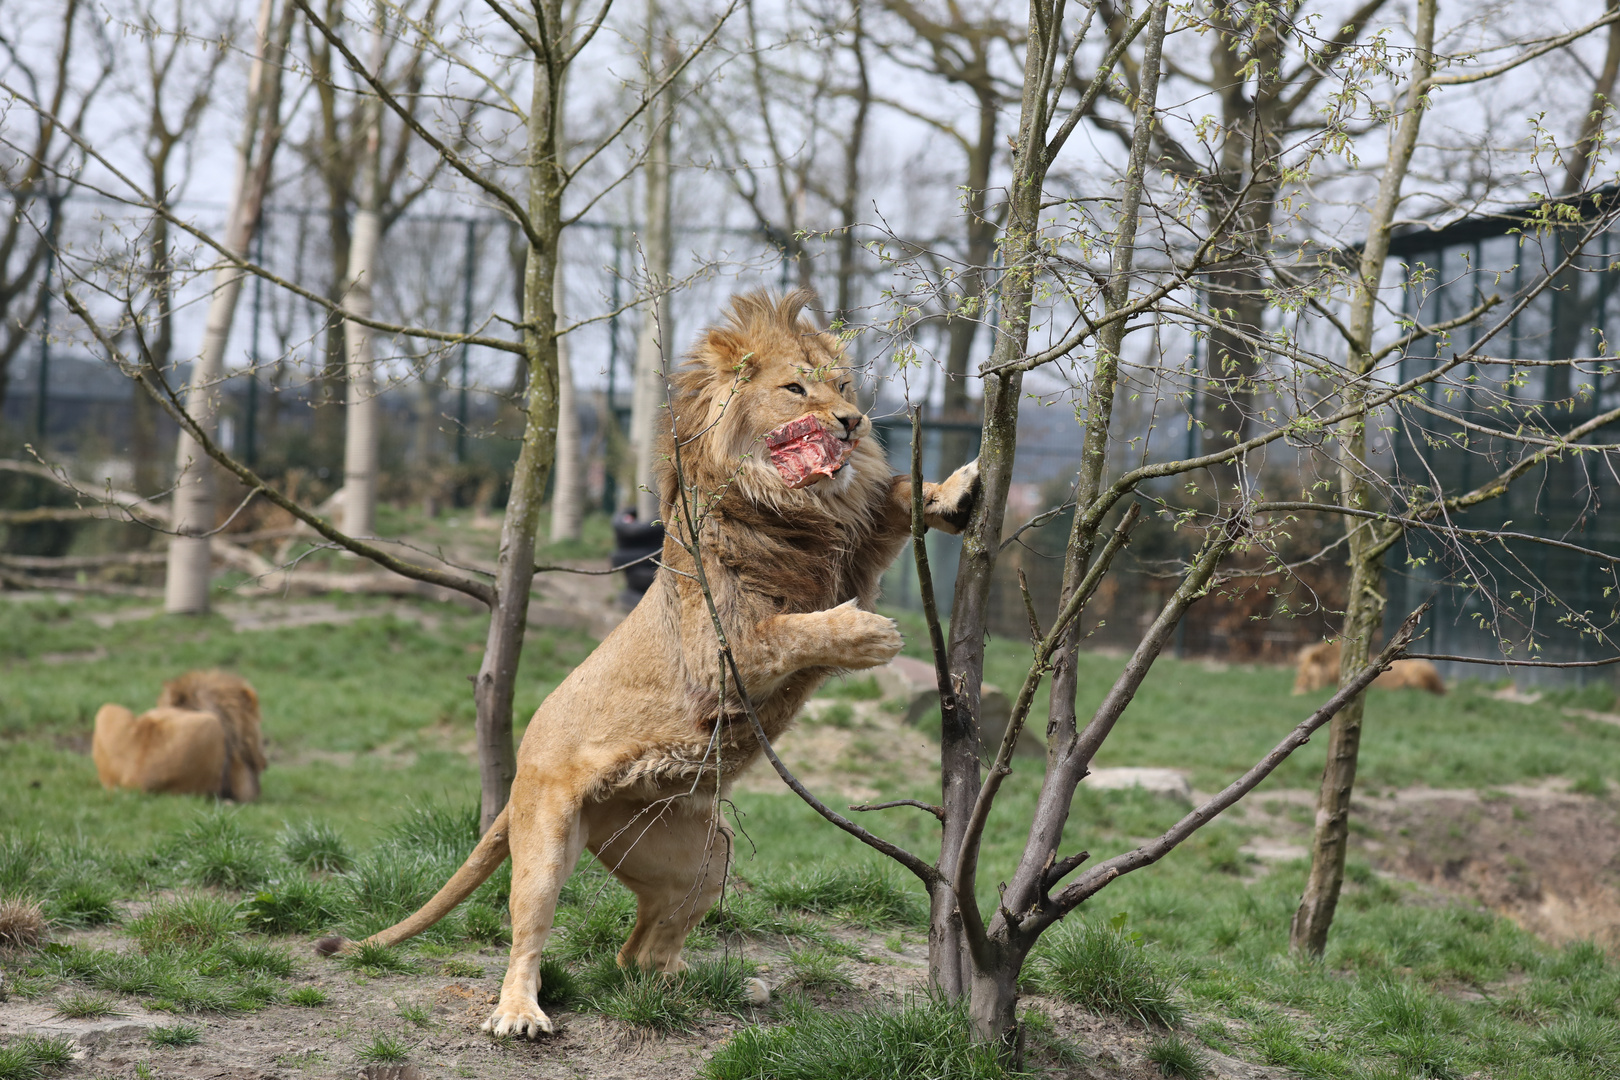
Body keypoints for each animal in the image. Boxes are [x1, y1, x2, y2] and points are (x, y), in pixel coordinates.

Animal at [312, 291, 972, 1042]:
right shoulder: (723, 653)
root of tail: (518, 778)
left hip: (701, 854)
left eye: (843, 387)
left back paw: (716, 986)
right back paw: (519, 1014)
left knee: (639, 952)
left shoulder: (849, 549)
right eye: (796, 390)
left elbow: (898, 499)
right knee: (527, 938)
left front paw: (957, 492)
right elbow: (790, 632)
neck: (791, 502)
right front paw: (868, 634)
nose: (853, 422)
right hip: (547, 842)